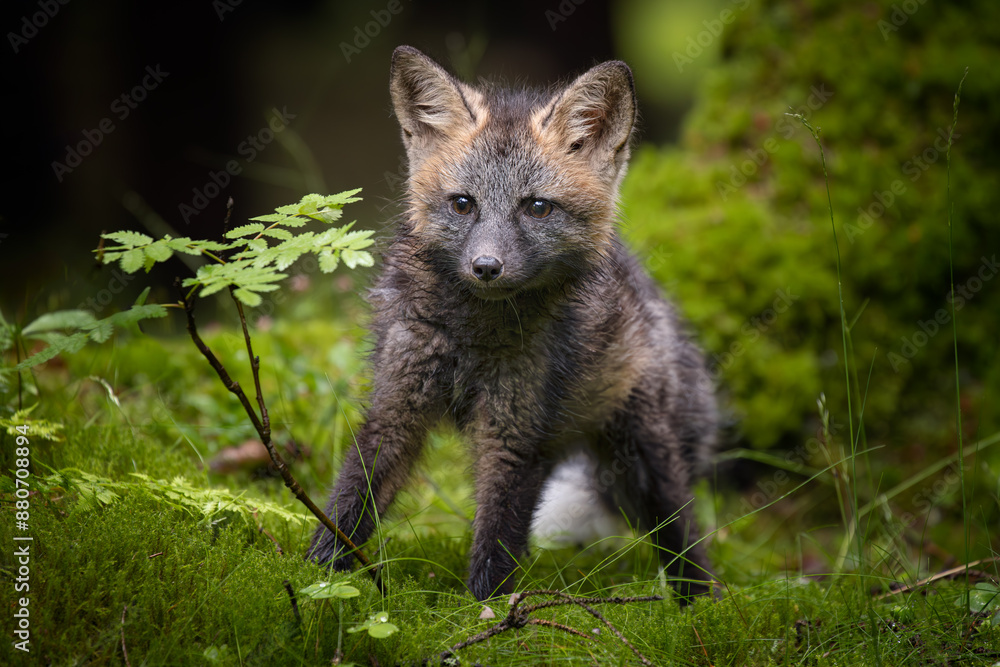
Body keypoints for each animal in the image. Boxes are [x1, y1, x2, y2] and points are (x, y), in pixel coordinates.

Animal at [309, 45, 718, 602]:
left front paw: (486, 611)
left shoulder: (515, 433)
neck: (472, 339)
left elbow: (496, 539)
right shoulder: (398, 404)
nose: (486, 267)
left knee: (684, 532)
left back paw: (700, 601)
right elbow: (352, 498)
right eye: (463, 203)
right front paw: (317, 575)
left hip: (644, 454)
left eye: (537, 207)